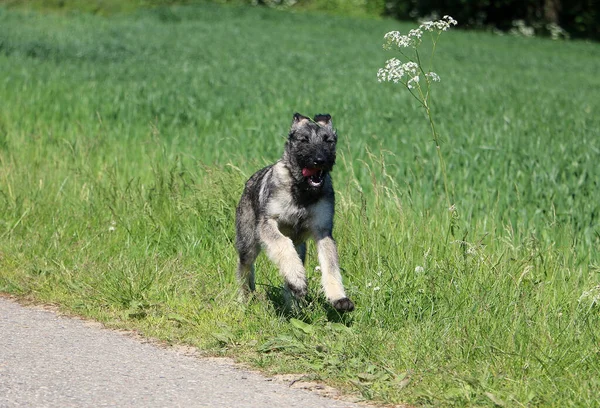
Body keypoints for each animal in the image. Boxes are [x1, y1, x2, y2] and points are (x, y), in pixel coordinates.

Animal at [234, 113, 354, 310]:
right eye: (304, 140)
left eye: (328, 141)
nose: (320, 160)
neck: (302, 191)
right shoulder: (268, 224)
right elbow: (282, 244)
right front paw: (297, 279)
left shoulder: (323, 232)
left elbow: (330, 265)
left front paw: (339, 298)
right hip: (248, 244)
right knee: (245, 268)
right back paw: (245, 298)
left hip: (300, 246)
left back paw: (293, 299)